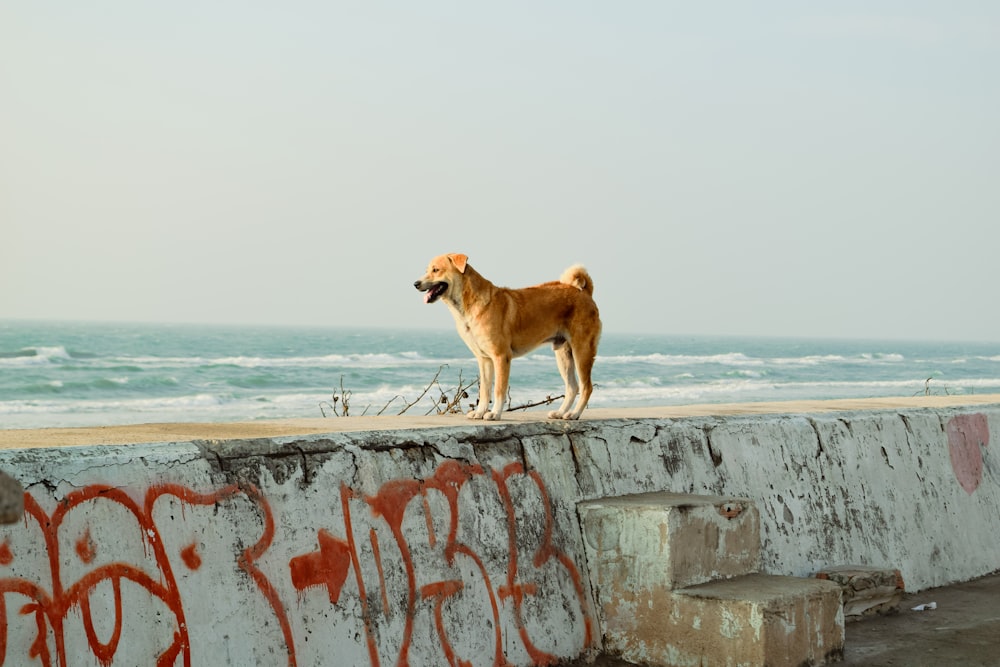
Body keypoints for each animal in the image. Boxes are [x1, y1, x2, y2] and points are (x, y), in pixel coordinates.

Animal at [414, 253, 600, 420]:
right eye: (427, 270)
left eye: (436, 270)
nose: (415, 283)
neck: (469, 305)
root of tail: (585, 292)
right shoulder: (484, 360)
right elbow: (485, 390)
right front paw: (480, 412)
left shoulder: (501, 356)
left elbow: (498, 389)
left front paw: (495, 413)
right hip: (563, 355)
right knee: (572, 387)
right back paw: (561, 413)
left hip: (582, 351)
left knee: (586, 387)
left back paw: (574, 414)